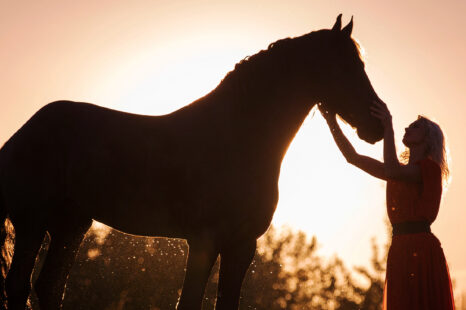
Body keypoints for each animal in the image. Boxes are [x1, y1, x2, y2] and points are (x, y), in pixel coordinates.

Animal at [0, 15, 382, 310]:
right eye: (346, 67)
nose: (376, 124)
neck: (237, 138)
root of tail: (23, 132)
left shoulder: (242, 245)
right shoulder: (203, 240)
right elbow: (189, 301)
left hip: (70, 225)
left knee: (49, 287)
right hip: (33, 221)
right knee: (19, 285)